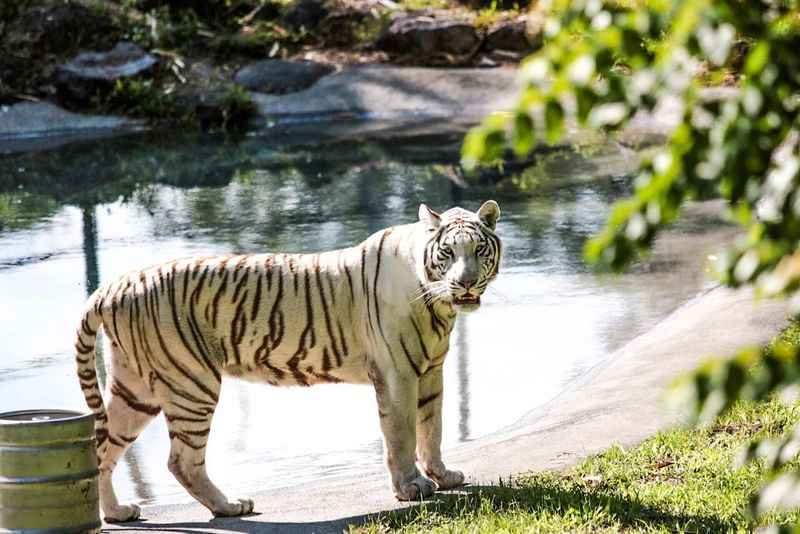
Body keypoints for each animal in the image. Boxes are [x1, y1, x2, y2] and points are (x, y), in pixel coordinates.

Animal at [75, 201, 500, 524]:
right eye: (448, 253)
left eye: (478, 250)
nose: (465, 283)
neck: (437, 304)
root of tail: (111, 287)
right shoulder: (398, 373)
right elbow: (401, 433)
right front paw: (411, 487)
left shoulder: (430, 371)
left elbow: (433, 427)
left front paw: (444, 476)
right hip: (191, 383)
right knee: (182, 461)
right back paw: (230, 507)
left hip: (136, 390)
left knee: (103, 446)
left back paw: (116, 513)